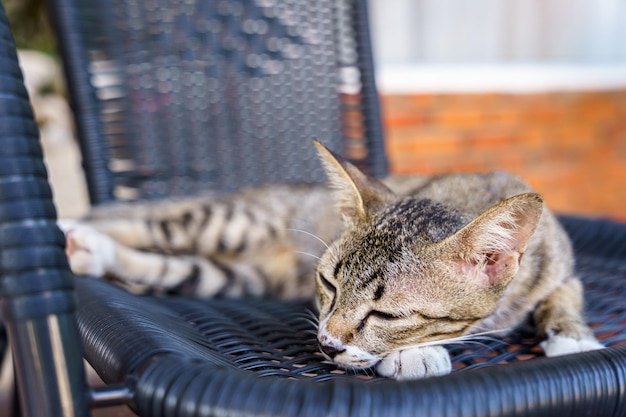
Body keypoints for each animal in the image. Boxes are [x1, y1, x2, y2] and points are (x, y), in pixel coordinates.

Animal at [63, 141, 600, 380]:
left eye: (388, 314)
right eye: (328, 284)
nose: (326, 344)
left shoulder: (562, 263)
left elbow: (567, 293)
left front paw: (572, 335)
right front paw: (416, 354)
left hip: (233, 275)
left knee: (168, 264)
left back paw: (91, 250)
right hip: (233, 222)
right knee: (146, 223)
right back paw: (74, 229)